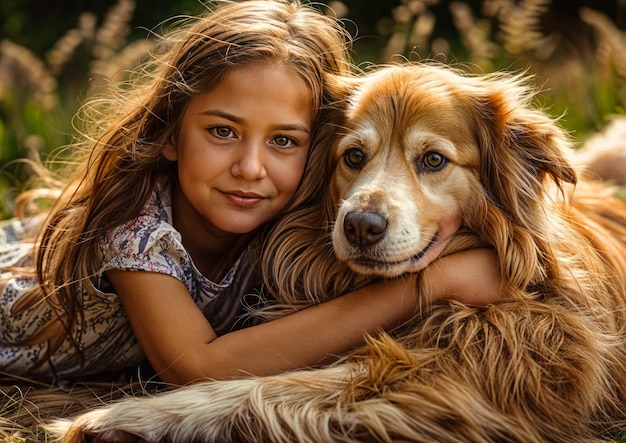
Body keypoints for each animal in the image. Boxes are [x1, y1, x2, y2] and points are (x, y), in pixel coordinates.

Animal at [50, 63, 626, 443]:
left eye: (433, 160)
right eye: (353, 156)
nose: (361, 226)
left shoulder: (498, 363)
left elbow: (285, 384)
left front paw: (119, 419)